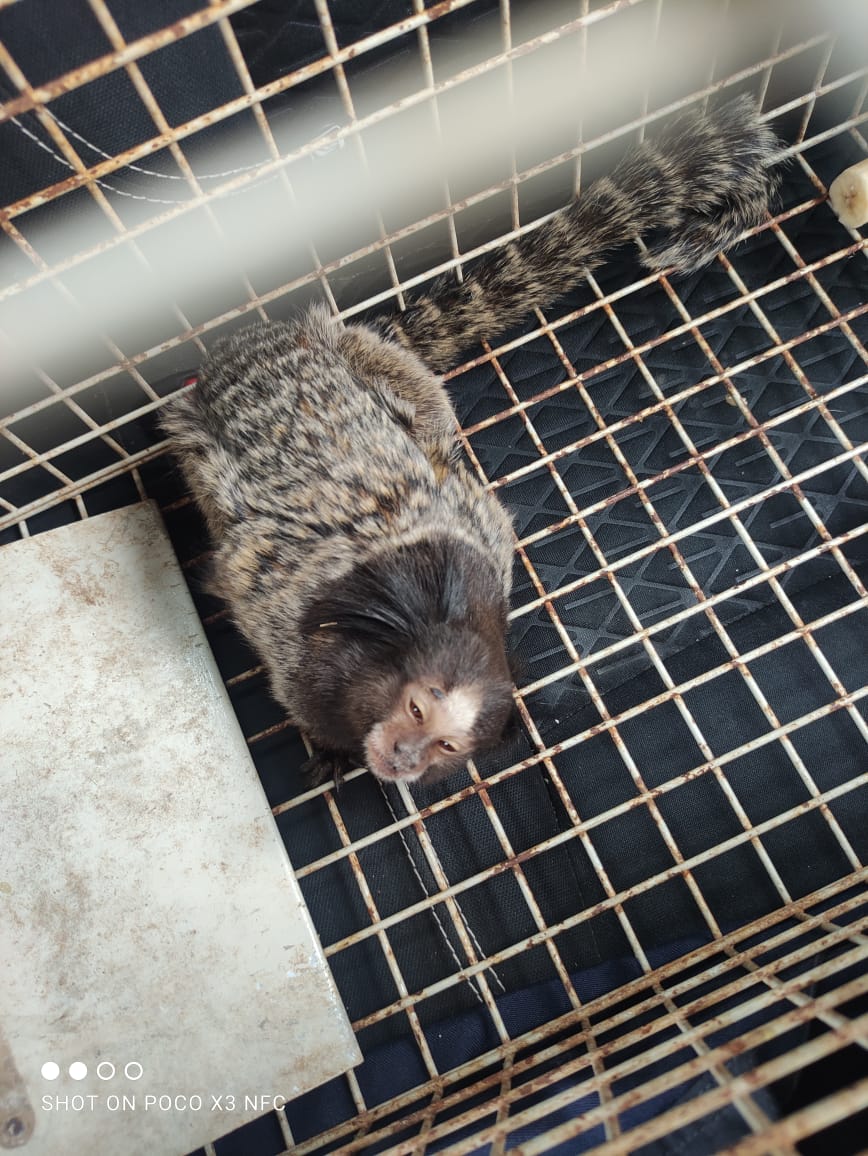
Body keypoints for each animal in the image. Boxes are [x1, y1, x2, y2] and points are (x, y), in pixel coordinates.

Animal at [160, 95, 780, 787]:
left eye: (447, 745)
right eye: (414, 708)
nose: (405, 758)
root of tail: (256, 351)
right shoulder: (283, 614)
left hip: (371, 358)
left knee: (430, 413)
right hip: (210, 430)